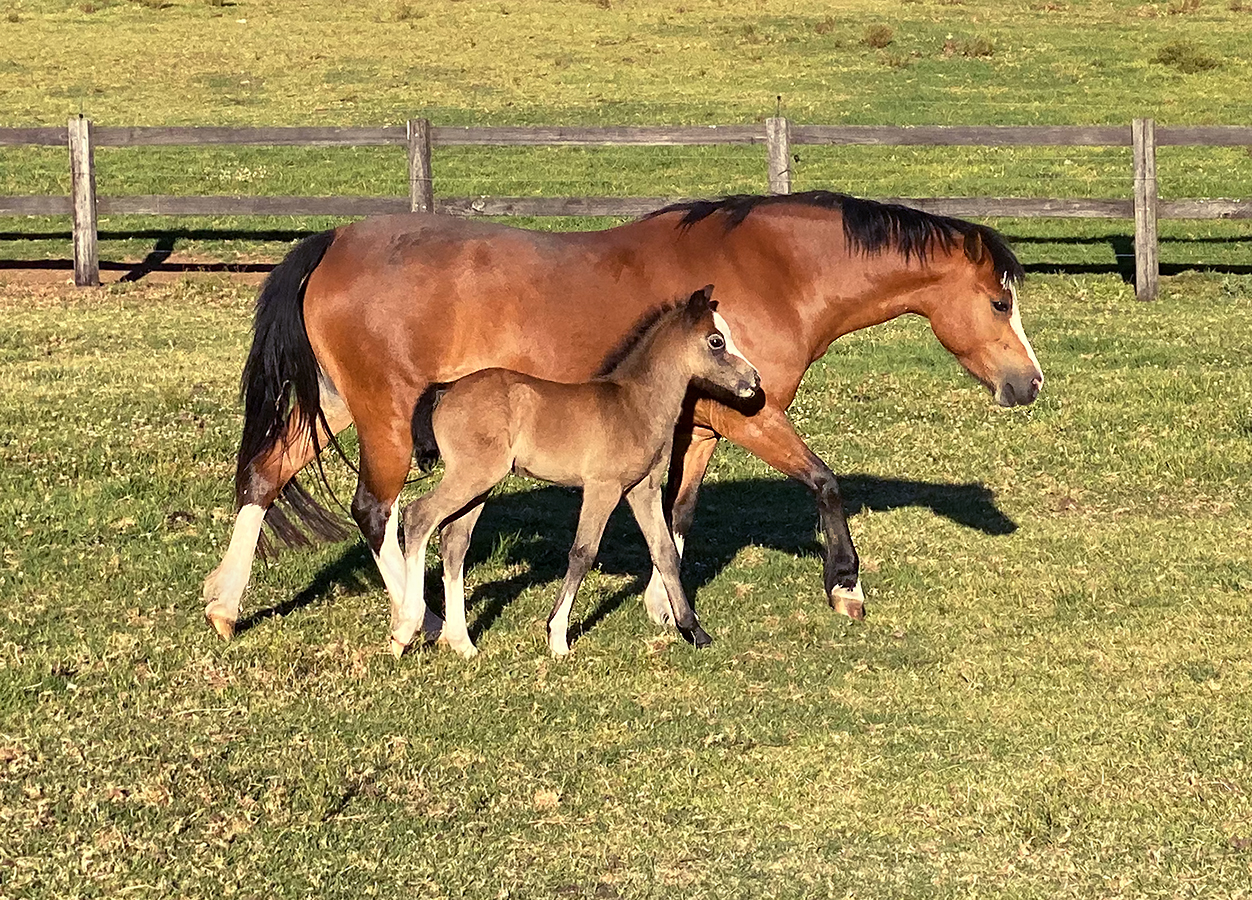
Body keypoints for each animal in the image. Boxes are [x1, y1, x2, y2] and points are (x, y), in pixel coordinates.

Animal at [398, 286, 760, 658]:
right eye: (716, 341)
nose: (754, 380)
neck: (634, 406)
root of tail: (446, 389)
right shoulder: (603, 488)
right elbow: (583, 553)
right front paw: (557, 636)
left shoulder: (643, 489)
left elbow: (665, 552)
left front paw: (694, 630)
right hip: (472, 476)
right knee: (418, 516)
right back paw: (405, 631)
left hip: (480, 484)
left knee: (454, 539)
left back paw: (463, 643)